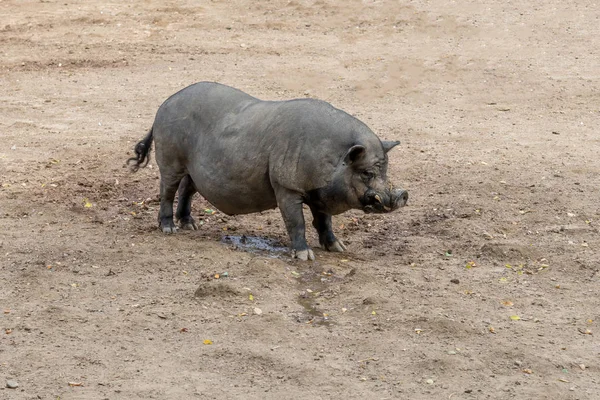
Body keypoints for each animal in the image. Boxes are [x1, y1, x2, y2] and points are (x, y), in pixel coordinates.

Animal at [127, 83, 408, 260]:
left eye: (384, 172)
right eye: (367, 174)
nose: (401, 197)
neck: (337, 158)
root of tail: (164, 103)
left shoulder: (320, 189)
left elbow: (324, 221)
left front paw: (339, 248)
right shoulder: (286, 185)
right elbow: (297, 222)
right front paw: (305, 257)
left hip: (195, 162)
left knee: (189, 185)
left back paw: (191, 226)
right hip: (171, 153)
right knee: (168, 187)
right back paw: (169, 230)